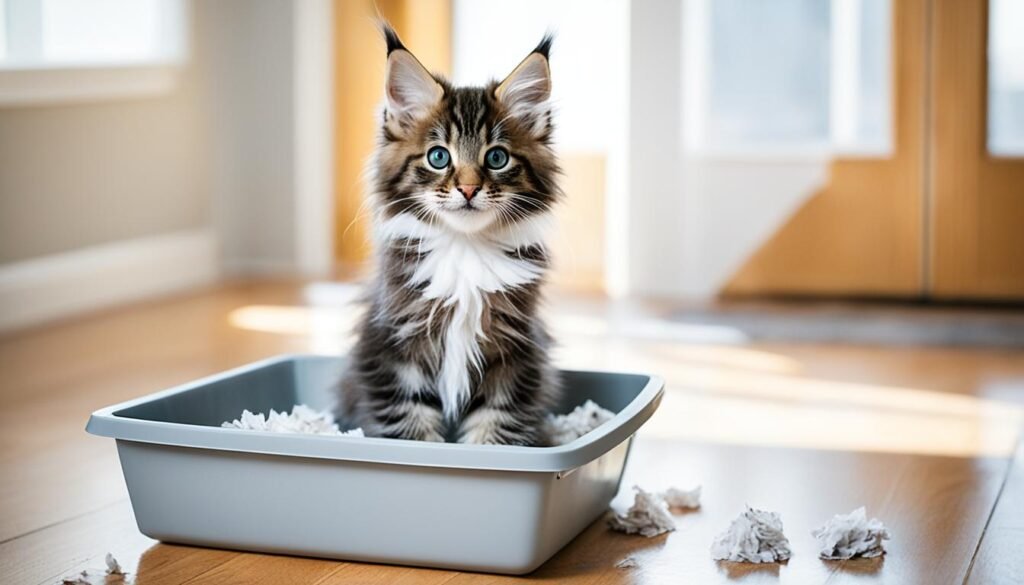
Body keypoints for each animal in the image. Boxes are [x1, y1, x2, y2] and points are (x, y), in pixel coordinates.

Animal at [342, 24, 569, 444]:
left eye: (497, 158)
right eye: (438, 157)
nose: (467, 189)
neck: (465, 251)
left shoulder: (515, 356)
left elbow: (494, 427)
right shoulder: (391, 351)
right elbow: (412, 428)